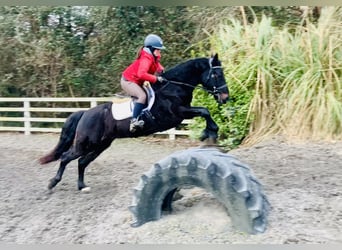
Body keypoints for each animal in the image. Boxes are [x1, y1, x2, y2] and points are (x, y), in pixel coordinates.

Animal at [38, 53, 228, 190]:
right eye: (217, 74)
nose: (225, 97)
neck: (174, 86)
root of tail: (85, 113)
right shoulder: (178, 113)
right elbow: (204, 111)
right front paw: (210, 132)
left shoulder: (183, 114)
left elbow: (203, 111)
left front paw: (210, 132)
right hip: (85, 143)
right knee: (66, 157)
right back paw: (53, 182)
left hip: (101, 144)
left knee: (82, 162)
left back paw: (82, 186)